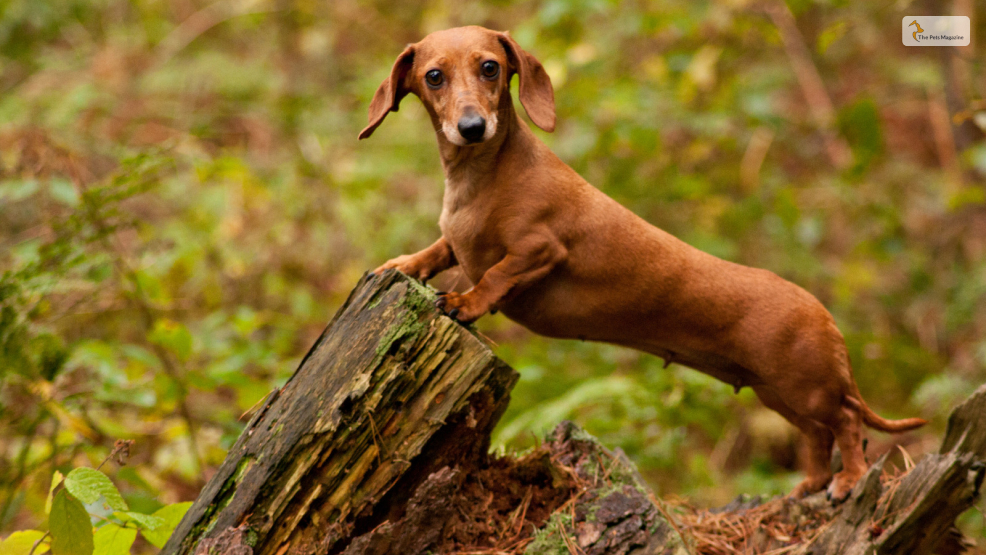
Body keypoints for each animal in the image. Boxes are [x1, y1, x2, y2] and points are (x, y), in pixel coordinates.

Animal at [360, 27, 924, 504]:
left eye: (490, 67)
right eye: (434, 75)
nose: (472, 127)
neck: (482, 177)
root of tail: (824, 314)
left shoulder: (539, 249)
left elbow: (494, 276)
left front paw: (465, 303)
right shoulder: (459, 243)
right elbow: (439, 250)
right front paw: (402, 264)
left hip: (808, 387)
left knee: (847, 423)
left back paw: (847, 481)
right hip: (779, 394)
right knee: (817, 435)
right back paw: (811, 483)